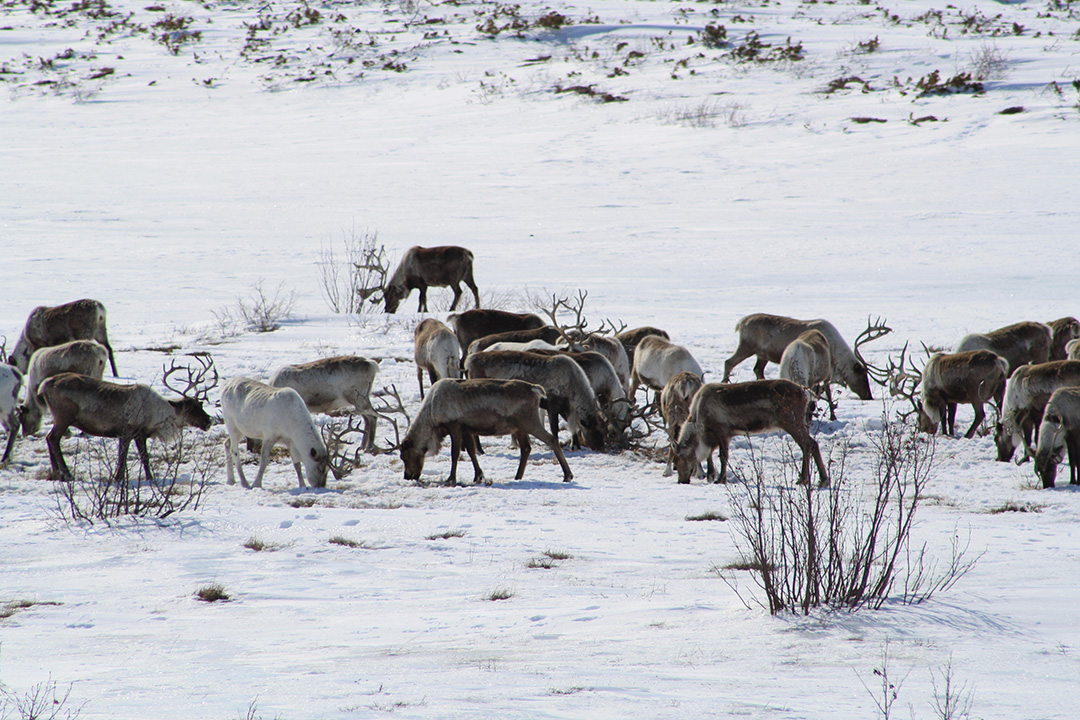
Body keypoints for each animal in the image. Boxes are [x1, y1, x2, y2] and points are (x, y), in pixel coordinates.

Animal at [38, 358, 215, 481]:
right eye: (189, 408)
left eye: (200, 404)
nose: (209, 421)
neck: (157, 416)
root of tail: (44, 385)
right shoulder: (129, 431)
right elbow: (127, 457)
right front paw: (119, 479)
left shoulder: (138, 435)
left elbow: (140, 457)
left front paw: (144, 478)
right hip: (63, 416)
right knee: (53, 438)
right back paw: (67, 474)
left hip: (60, 418)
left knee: (50, 438)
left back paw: (57, 473)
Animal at [400, 378, 573, 486]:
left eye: (404, 456)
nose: (407, 476)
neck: (432, 419)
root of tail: (535, 389)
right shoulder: (466, 429)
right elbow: (471, 451)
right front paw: (478, 476)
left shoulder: (454, 425)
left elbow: (455, 453)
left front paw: (451, 479)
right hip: (519, 427)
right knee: (526, 448)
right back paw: (517, 477)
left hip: (529, 421)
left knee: (551, 439)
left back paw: (568, 475)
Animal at [464, 350, 608, 452]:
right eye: (595, 430)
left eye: (603, 429)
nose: (601, 447)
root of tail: (468, 361)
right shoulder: (552, 406)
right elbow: (555, 429)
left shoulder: (565, 408)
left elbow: (573, 427)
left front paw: (576, 445)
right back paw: (479, 450)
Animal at [673, 379, 829, 487]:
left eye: (678, 459)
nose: (681, 481)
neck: (698, 422)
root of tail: (806, 393)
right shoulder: (713, 436)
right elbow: (709, 455)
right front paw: (711, 475)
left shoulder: (723, 431)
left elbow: (723, 456)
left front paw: (721, 479)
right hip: (798, 423)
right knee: (808, 445)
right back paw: (812, 479)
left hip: (792, 422)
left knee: (809, 444)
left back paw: (813, 479)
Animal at [722, 314, 888, 401]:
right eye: (863, 377)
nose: (869, 397)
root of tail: (740, 323)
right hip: (747, 346)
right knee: (728, 362)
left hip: (762, 355)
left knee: (757, 370)